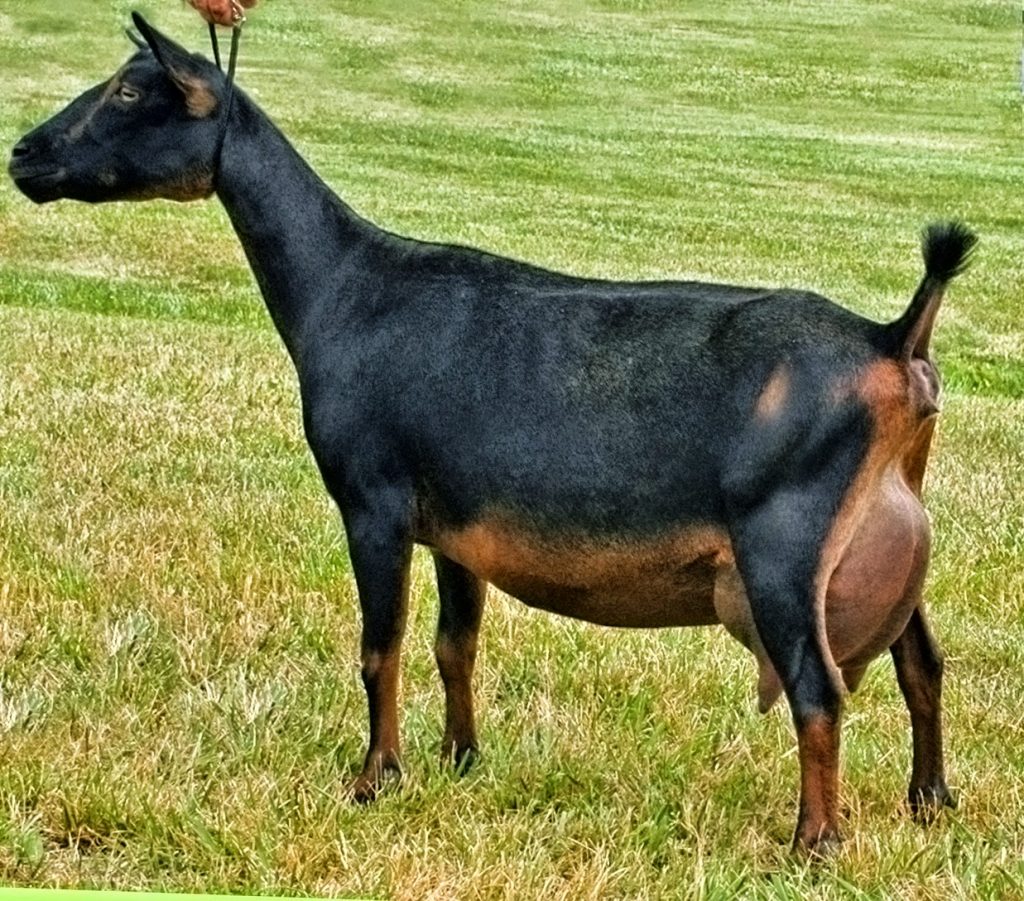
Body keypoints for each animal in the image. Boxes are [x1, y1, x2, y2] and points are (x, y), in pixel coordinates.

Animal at [8, 15, 970, 851]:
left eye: (132, 90)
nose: (22, 153)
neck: (347, 286)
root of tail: (893, 340)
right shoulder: (453, 527)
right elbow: (453, 644)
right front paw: (459, 761)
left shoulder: (375, 501)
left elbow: (381, 646)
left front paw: (374, 778)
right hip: (883, 535)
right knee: (922, 662)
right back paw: (930, 800)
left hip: (785, 542)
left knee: (818, 686)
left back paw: (814, 842)